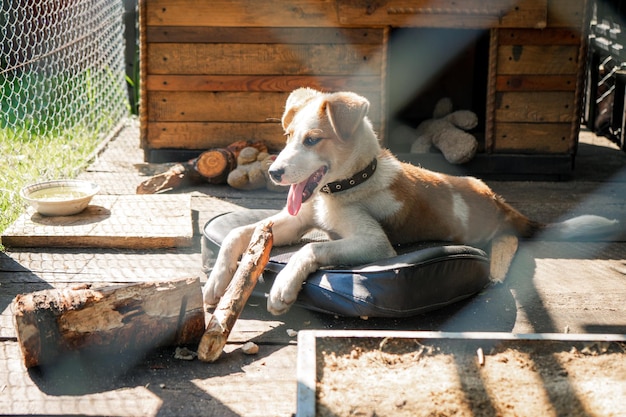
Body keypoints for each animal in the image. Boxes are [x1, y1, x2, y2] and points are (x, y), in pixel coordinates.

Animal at [202, 88, 616, 316]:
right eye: (288, 137)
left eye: (312, 140)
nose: (273, 173)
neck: (347, 184)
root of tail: (497, 200)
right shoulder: (296, 221)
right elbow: (239, 232)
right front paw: (217, 282)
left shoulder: (373, 242)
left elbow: (311, 250)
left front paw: (283, 288)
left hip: (495, 228)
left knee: (511, 238)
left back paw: (500, 262)